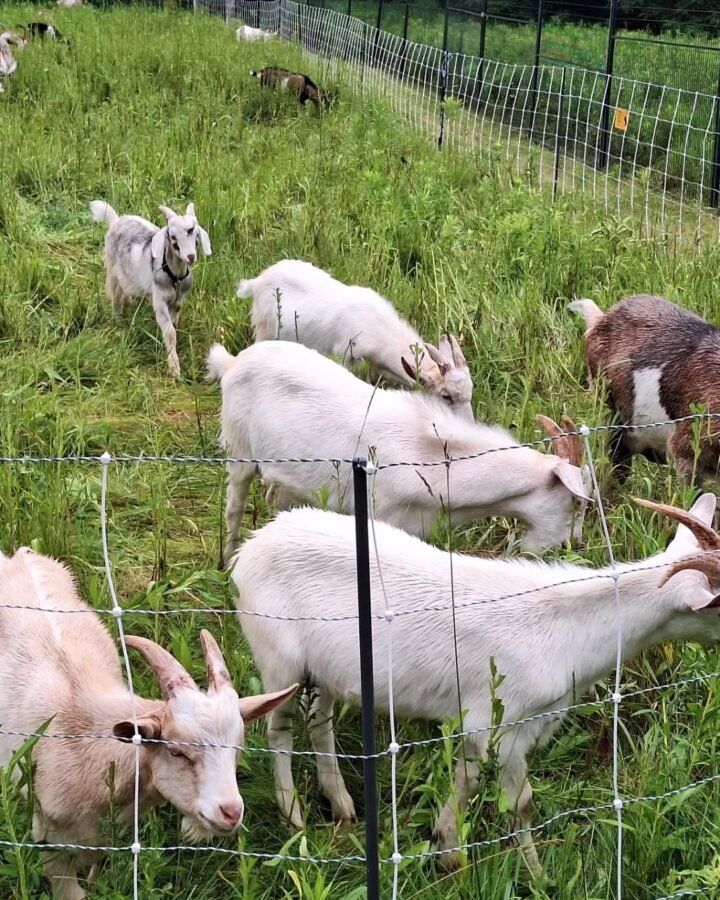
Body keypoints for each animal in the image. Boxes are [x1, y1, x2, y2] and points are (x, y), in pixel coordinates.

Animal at [90, 200, 211, 378]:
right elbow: (169, 332)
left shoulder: (177, 300)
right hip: (113, 270)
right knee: (116, 295)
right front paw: (174, 369)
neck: (174, 276)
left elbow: (173, 327)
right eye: (172, 237)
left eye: (195, 233)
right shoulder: (159, 300)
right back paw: (118, 319)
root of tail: (116, 220)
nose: (190, 257)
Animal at [206, 340, 590, 561]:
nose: (576, 545)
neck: (432, 456)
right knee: (234, 506)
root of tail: (232, 362)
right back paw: (227, 560)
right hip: (239, 451)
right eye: (576, 501)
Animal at [231, 493, 720, 875]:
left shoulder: (482, 723)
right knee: (278, 729)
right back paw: (294, 817)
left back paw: (343, 806)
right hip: (276, 655)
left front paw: (447, 849)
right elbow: (521, 803)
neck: (567, 624)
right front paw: (538, 877)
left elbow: (464, 783)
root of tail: (250, 548)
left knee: (321, 719)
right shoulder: (503, 723)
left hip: (331, 669)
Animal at [236, 258, 474, 418]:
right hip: (264, 329)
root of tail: (256, 282)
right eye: (446, 396)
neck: (381, 332)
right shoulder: (347, 354)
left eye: (471, 391)